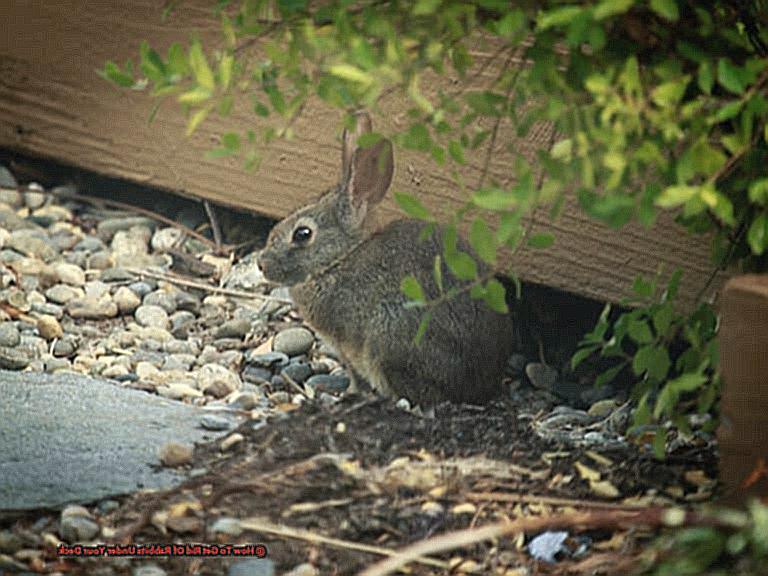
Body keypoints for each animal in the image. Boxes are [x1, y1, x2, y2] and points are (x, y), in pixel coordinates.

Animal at [258, 110, 516, 402]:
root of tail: (482, 384)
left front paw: (346, 392)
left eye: (302, 234)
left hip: (387, 342)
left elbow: (355, 376)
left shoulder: (347, 347)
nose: (261, 263)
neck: (340, 259)